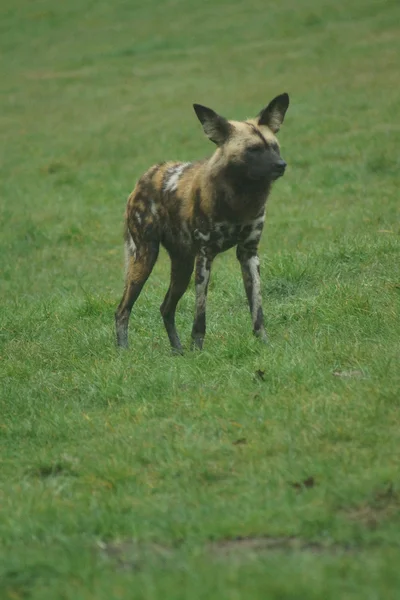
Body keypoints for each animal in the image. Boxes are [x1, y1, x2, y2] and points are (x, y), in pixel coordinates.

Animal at [114, 92, 290, 352]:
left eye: (274, 147)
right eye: (253, 149)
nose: (281, 165)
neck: (240, 198)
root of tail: (145, 176)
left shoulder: (249, 253)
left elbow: (257, 310)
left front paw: (264, 343)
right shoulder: (205, 255)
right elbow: (200, 315)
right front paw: (198, 350)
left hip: (182, 266)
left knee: (166, 307)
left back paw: (178, 351)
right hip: (145, 258)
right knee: (122, 310)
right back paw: (124, 352)